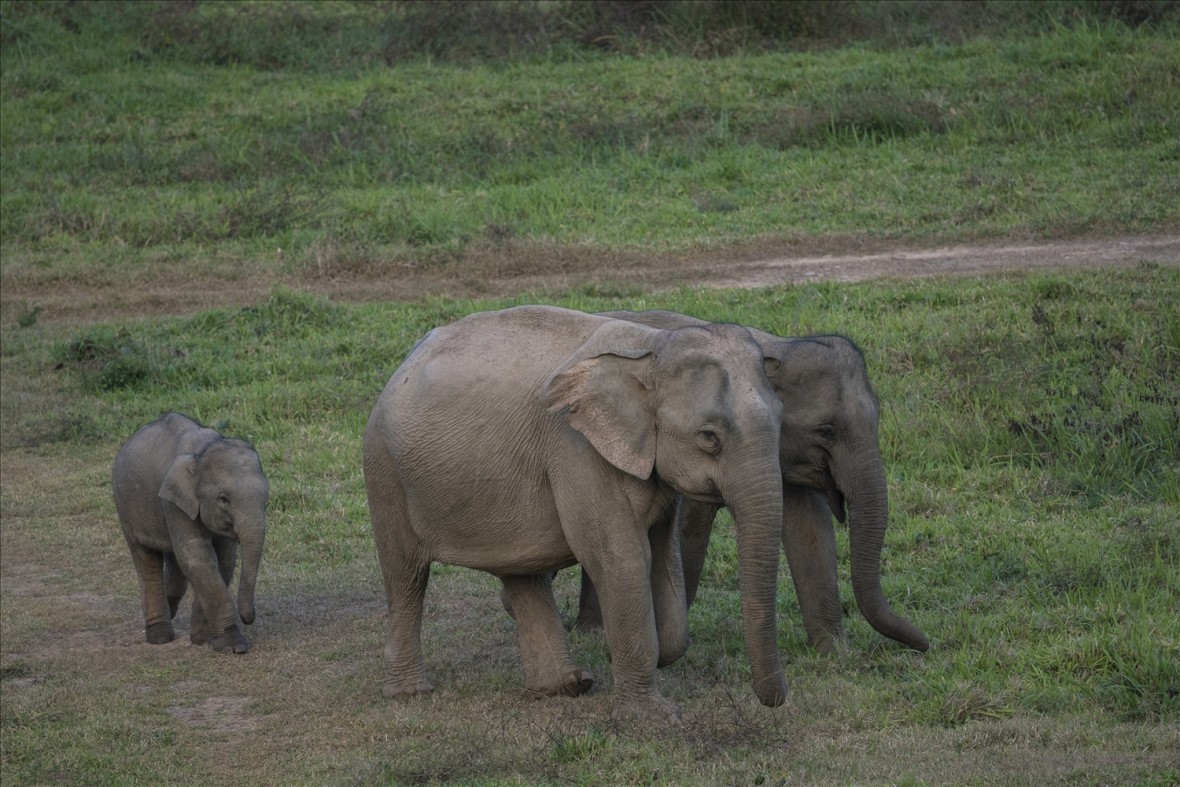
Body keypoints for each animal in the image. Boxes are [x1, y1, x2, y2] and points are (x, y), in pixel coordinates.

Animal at [113, 415, 270, 656]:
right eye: (224, 499)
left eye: (267, 498)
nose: (249, 618)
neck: (203, 449)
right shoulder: (173, 501)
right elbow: (199, 559)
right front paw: (234, 647)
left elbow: (224, 562)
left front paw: (203, 639)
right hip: (126, 508)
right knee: (147, 563)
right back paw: (159, 636)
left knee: (176, 568)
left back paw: (171, 610)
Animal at [573, 311, 929, 656]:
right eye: (826, 431)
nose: (925, 644)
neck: (775, 345)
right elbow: (688, 530)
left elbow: (810, 527)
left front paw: (835, 654)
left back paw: (592, 633)